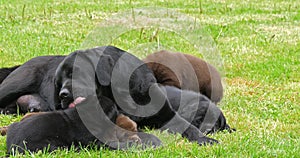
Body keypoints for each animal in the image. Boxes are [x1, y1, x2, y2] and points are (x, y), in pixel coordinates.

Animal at [52, 45, 219, 146]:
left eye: (74, 72)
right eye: (58, 83)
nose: (63, 95)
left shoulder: (167, 115)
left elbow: (189, 127)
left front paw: (204, 139)